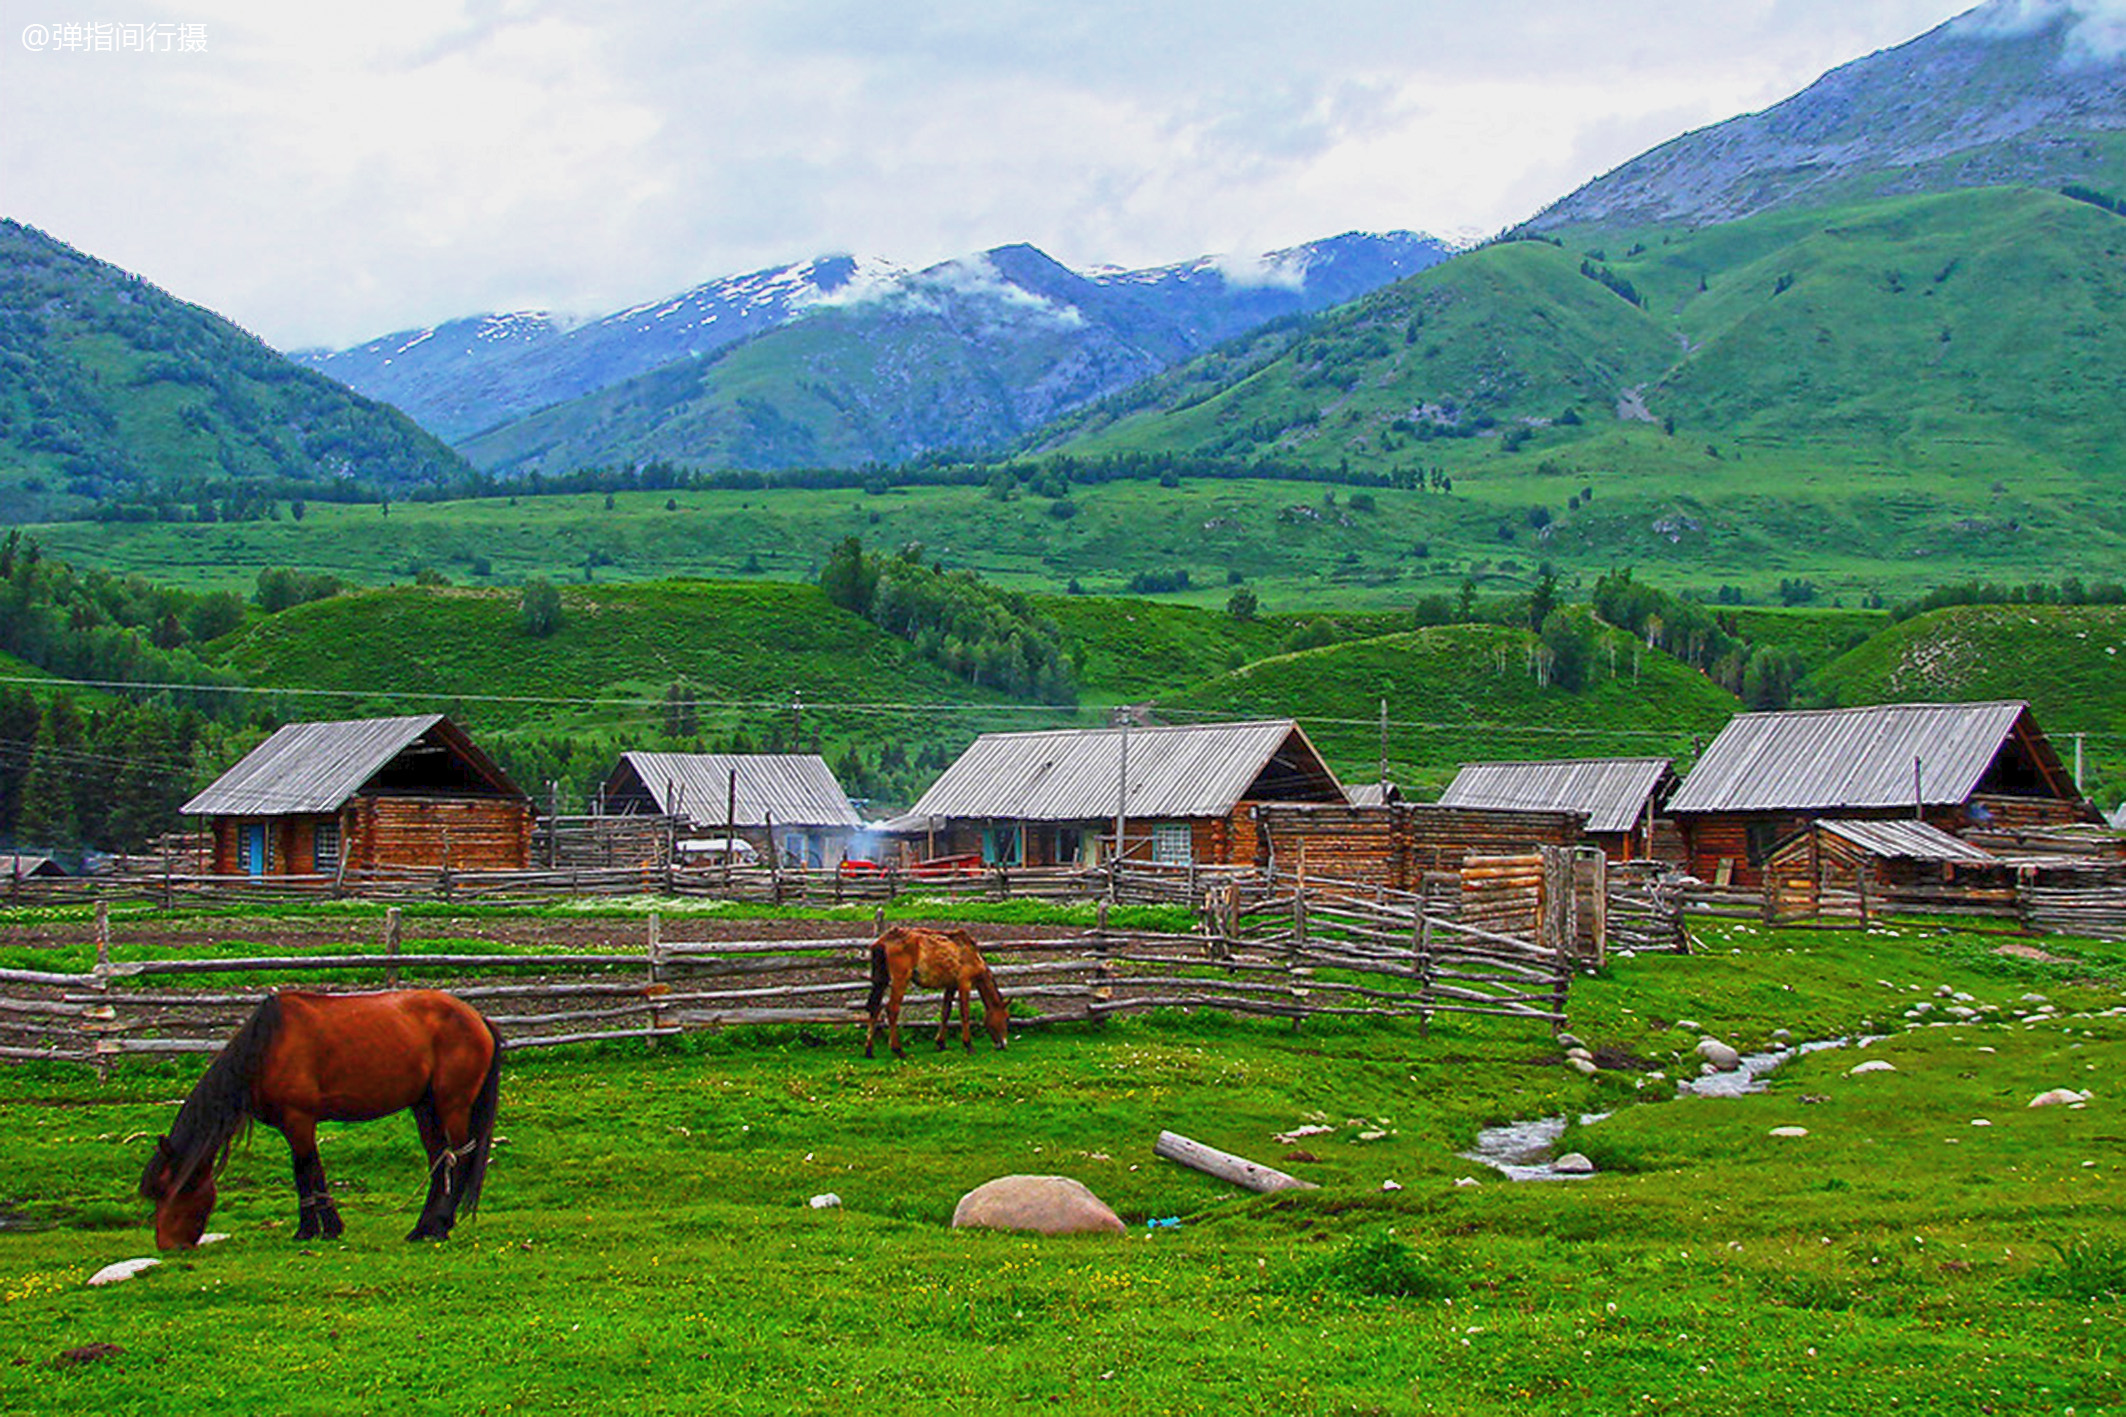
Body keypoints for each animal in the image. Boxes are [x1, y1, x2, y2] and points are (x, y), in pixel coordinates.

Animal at [142, 985, 505, 1249]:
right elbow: (306, 1172)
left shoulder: (299, 1120)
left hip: (452, 1104)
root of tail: (478, 1019)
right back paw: (423, 1228)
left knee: (459, 1159)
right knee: (439, 1159)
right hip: (425, 1106)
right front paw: (320, 1227)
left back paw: (440, 1226)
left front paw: (316, 1229)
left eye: (169, 1189)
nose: (167, 1245)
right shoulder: (293, 1125)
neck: (268, 1047)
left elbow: (307, 1170)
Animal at [858, 926, 1007, 1057]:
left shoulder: (951, 986)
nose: (1003, 1044)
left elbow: (945, 1012)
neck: (973, 955)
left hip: (880, 981)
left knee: (874, 1007)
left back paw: (869, 1050)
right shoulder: (964, 983)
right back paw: (898, 1049)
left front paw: (941, 1043)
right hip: (900, 980)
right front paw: (968, 1044)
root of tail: (885, 939)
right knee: (892, 1009)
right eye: (1006, 1018)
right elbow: (964, 1013)